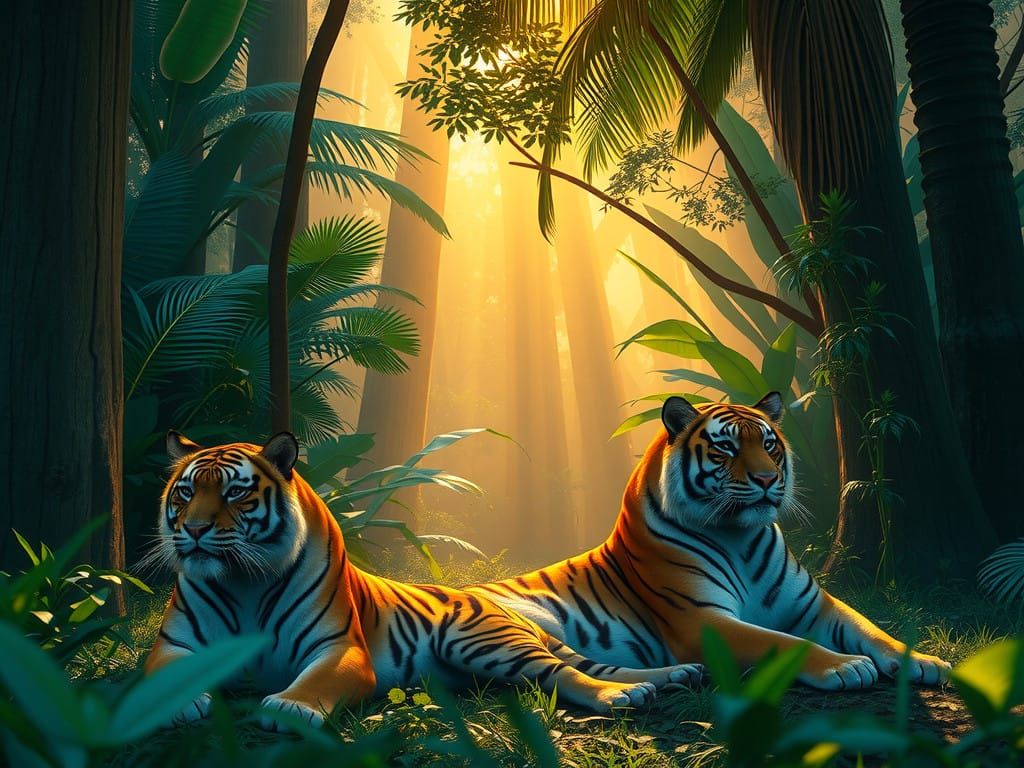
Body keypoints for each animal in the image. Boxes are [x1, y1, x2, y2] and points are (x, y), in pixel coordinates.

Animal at [144, 431, 704, 729]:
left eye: (235, 493)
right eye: (186, 492)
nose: (194, 529)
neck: (244, 583)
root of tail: (504, 608)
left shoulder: (341, 650)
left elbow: (314, 683)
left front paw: (289, 707)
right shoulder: (172, 646)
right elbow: (159, 677)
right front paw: (177, 702)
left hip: (483, 642)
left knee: (565, 673)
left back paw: (621, 698)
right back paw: (667, 679)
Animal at [467, 393, 951, 691]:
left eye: (770, 445)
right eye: (726, 449)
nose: (767, 479)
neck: (740, 538)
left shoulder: (815, 605)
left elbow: (870, 627)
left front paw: (923, 661)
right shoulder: (701, 620)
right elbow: (785, 643)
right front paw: (845, 665)